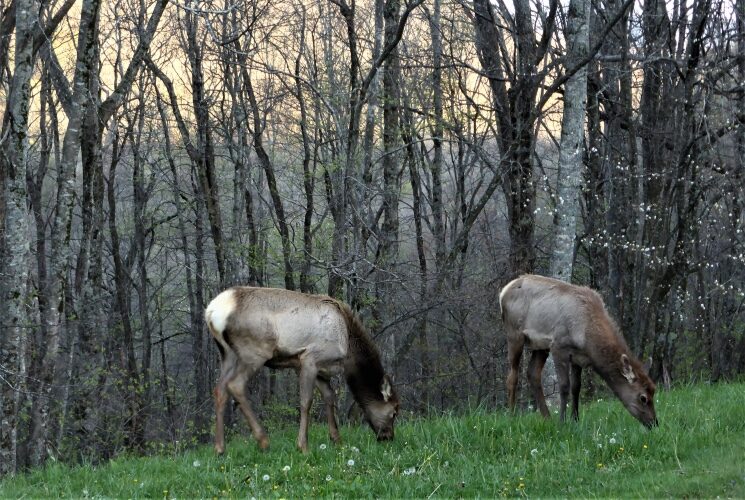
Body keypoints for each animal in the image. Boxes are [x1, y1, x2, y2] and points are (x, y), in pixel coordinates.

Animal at [203, 286, 402, 454]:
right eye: (393, 412)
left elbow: (329, 397)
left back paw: (219, 449)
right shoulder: (309, 359)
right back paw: (263, 441)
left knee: (219, 389)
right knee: (235, 385)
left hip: (227, 354)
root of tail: (212, 311)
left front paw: (337, 440)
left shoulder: (320, 370)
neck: (347, 351)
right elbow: (306, 401)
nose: (388, 437)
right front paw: (303, 446)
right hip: (255, 351)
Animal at [500, 276, 656, 428]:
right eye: (643, 398)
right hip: (515, 334)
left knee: (533, 373)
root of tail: (503, 292)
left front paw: (575, 419)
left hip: (540, 346)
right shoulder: (558, 347)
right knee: (512, 376)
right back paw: (512, 416)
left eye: (654, 390)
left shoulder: (578, 358)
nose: (654, 423)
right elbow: (564, 386)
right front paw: (562, 422)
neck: (587, 338)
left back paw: (547, 418)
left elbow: (576, 387)